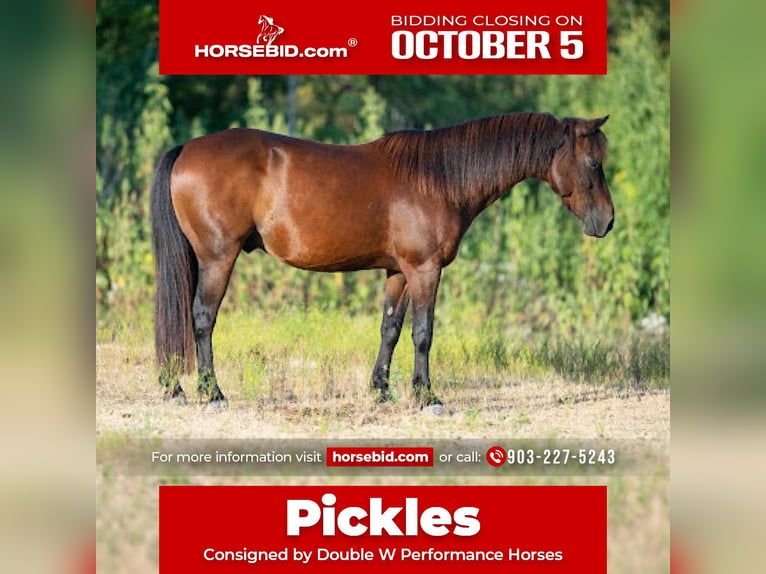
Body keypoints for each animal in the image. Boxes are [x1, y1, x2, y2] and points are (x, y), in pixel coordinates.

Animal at [150, 112, 614, 412]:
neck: (438, 179)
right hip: (217, 257)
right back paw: (212, 394)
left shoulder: (398, 272)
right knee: (201, 317)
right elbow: (423, 333)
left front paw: (382, 391)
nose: (607, 221)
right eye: (593, 162)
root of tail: (186, 148)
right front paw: (426, 396)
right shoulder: (425, 270)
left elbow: (390, 329)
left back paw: (176, 389)